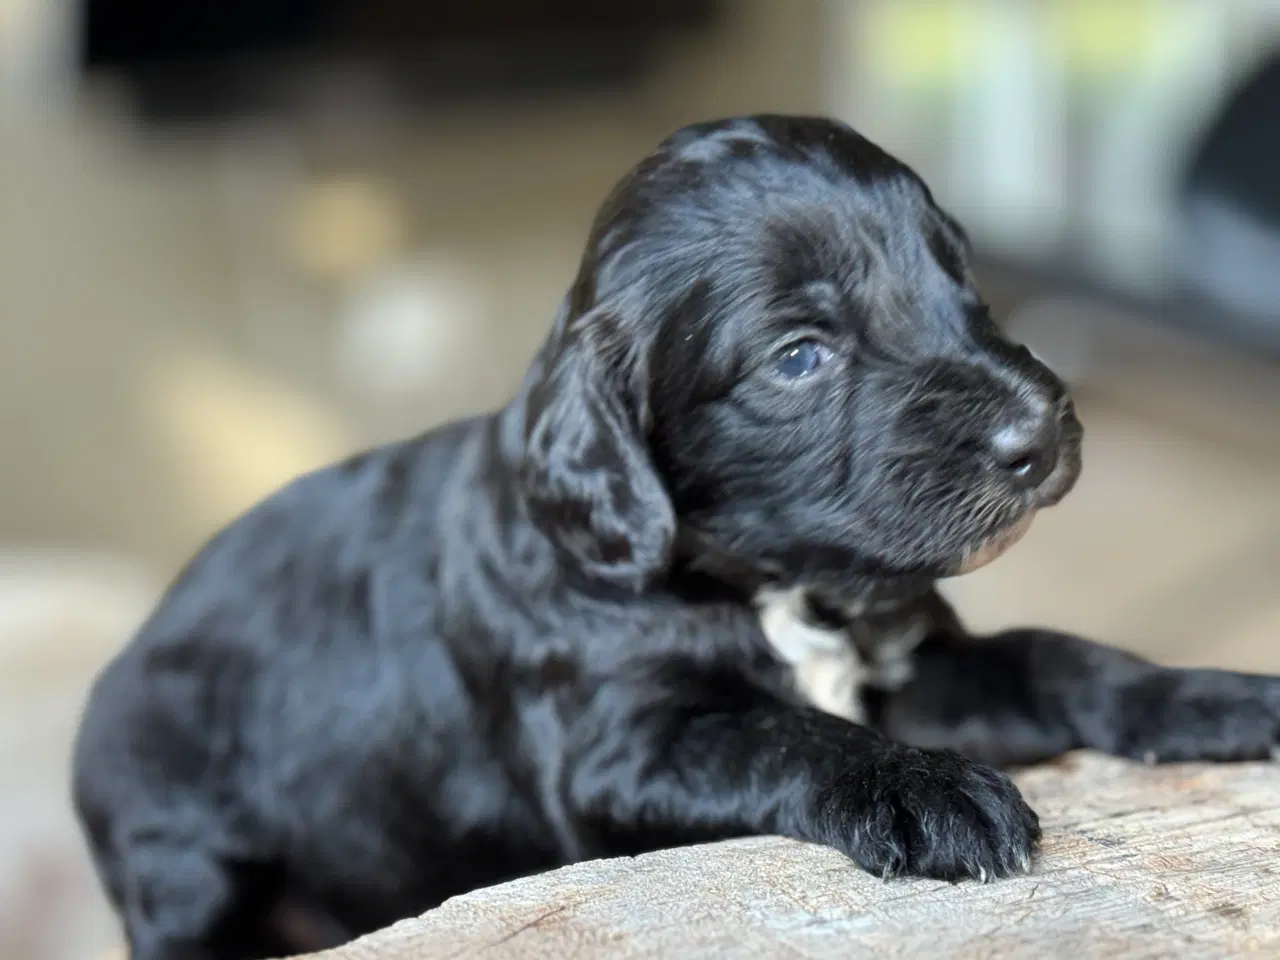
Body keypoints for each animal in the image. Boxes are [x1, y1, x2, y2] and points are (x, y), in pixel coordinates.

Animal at [74, 114, 1280, 960]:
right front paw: (925, 791)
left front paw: (1218, 697)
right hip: (176, 852)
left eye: (961, 277)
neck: (768, 583)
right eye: (798, 355)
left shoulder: (909, 669)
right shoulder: (617, 750)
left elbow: (1054, 654)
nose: (1041, 431)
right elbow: (781, 733)